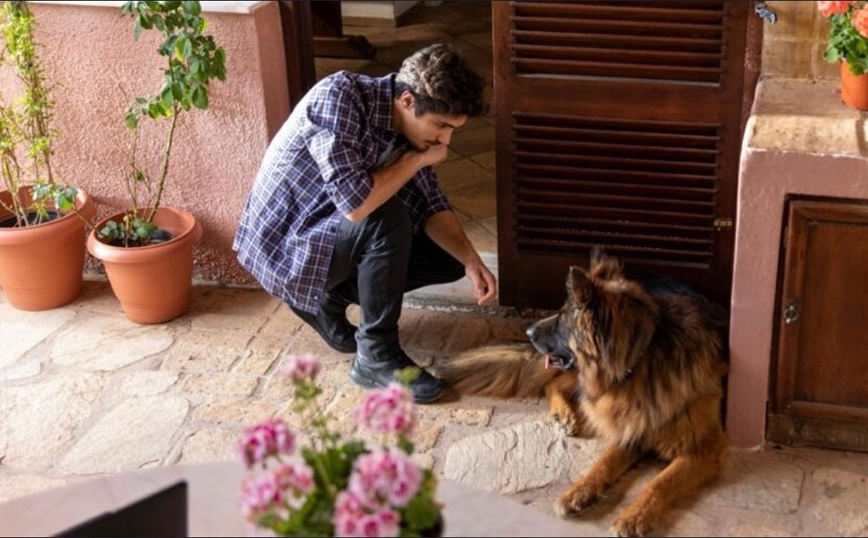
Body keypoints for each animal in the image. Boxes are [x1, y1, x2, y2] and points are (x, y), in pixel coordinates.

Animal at [438, 247, 728, 536]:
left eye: (563, 319)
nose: (528, 331)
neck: (643, 357)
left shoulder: (703, 448)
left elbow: (660, 483)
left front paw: (633, 517)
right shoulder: (629, 426)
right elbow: (603, 464)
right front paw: (578, 491)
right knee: (553, 384)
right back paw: (565, 414)